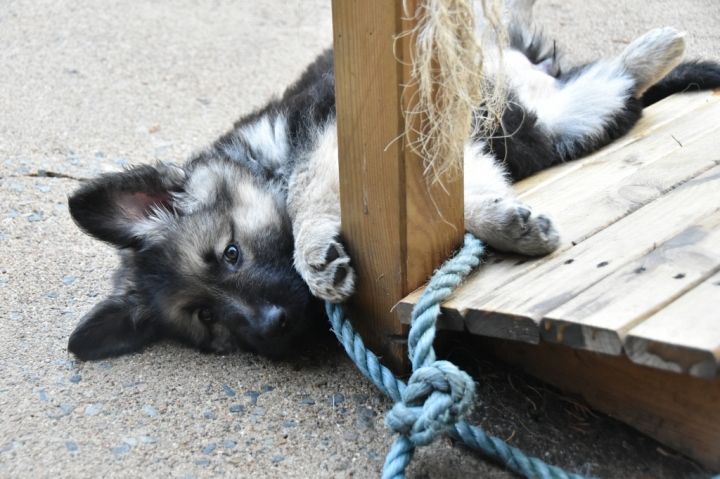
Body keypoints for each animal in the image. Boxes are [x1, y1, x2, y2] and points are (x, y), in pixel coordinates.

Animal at [66, 1, 720, 360]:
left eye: (231, 253)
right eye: (208, 320)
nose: (275, 330)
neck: (263, 160)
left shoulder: (332, 126)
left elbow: (304, 194)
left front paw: (315, 254)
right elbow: (466, 195)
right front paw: (505, 222)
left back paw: (660, 45)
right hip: (561, 122)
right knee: (612, 92)